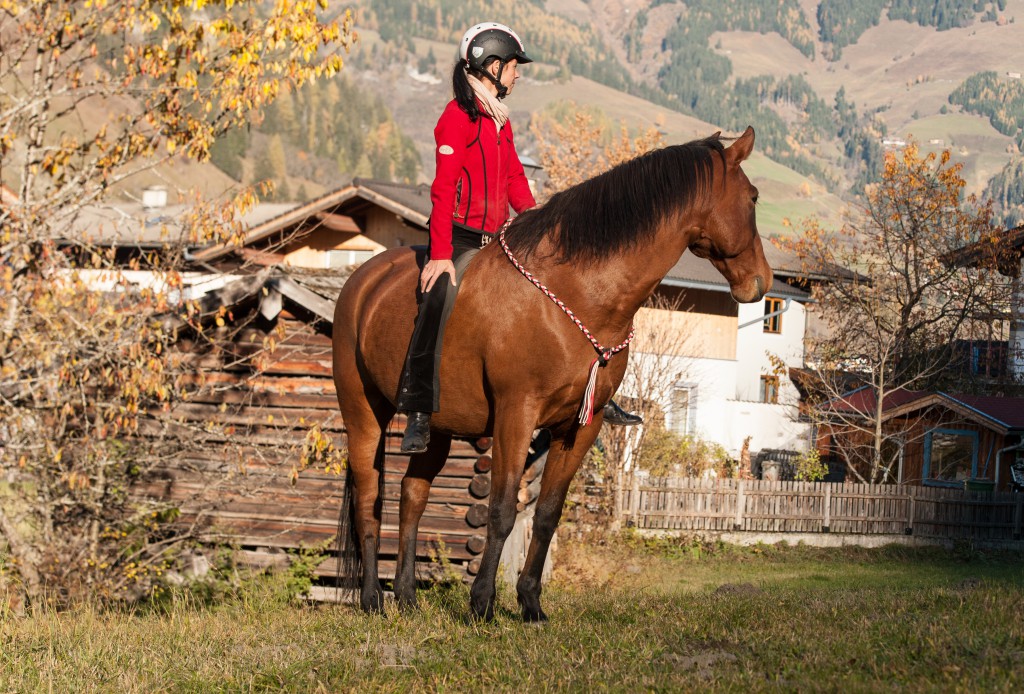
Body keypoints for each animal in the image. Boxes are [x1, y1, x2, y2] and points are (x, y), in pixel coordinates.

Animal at [331, 126, 770, 626]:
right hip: (363, 415)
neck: (577, 292)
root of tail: (362, 278)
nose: (761, 282)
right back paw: (372, 599)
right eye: (753, 197)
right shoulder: (516, 416)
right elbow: (502, 510)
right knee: (370, 502)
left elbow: (547, 514)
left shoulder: (581, 425)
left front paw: (530, 604)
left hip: (437, 427)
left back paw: (405, 598)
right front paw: (482, 604)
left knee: (412, 496)